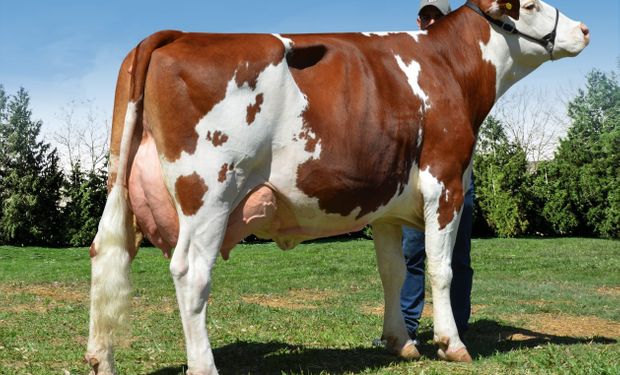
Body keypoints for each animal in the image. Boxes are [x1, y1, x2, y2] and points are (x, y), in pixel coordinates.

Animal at [85, 1, 588, 374]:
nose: (584, 28)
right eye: (530, 4)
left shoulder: (387, 205)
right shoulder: (445, 183)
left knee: (105, 256)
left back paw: (100, 358)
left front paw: (400, 342)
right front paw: (452, 344)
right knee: (191, 272)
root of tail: (177, 34)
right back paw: (204, 365)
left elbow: (393, 272)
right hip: (210, 193)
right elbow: (440, 269)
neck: (446, 67)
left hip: (124, 189)